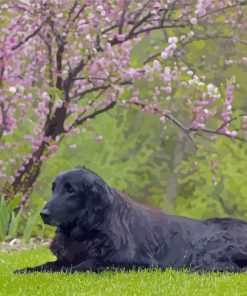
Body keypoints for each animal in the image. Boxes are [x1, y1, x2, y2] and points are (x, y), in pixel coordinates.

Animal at [14, 168, 247, 274]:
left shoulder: (133, 261)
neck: (89, 231)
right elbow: (46, 264)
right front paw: (25, 270)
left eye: (71, 190)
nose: (43, 213)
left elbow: (86, 264)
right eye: (54, 188)